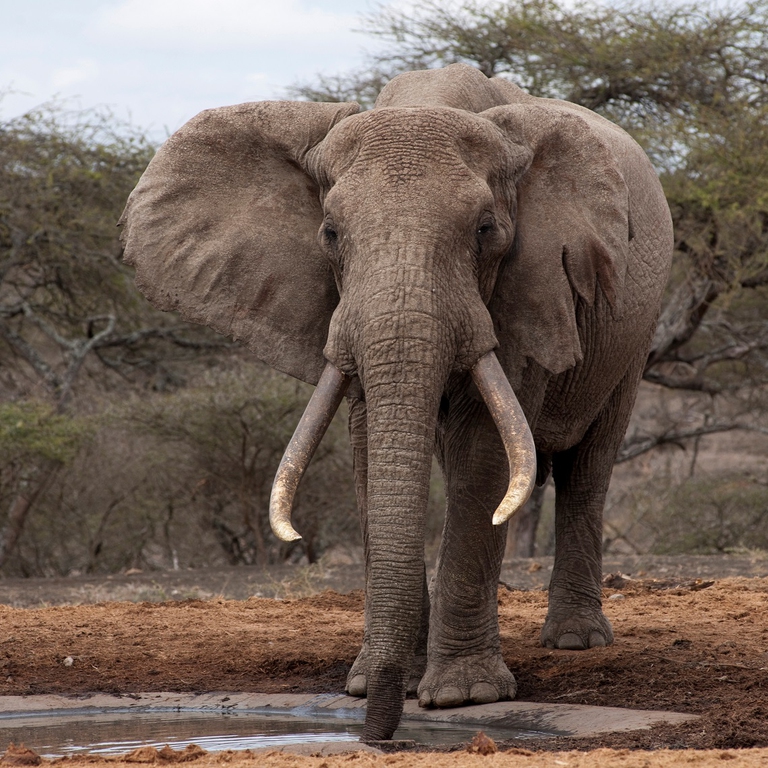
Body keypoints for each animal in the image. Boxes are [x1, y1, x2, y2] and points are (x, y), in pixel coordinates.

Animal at [119, 63, 673, 741]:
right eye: (330, 233)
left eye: (485, 230)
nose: (375, 733)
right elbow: (366, 452)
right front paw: (383, 683)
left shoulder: (530, 285)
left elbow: (484, 458)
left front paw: (461, 696)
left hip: (634, 331)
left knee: (589, 467)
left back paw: (574, 642)